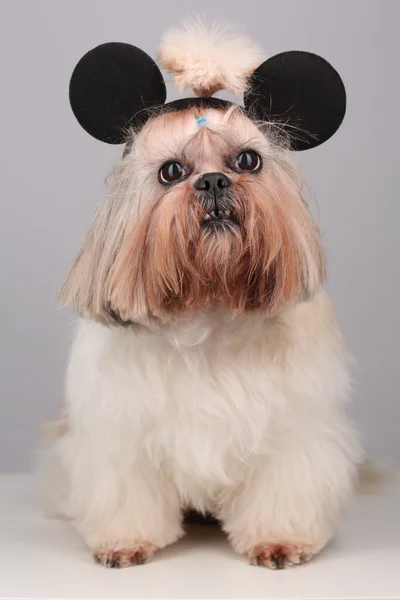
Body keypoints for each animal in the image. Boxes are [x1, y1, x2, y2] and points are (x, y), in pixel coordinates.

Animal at [40, 18, 362, 568]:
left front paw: (279, 541)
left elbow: (284, 483)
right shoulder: (119, 436)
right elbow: (126, 490)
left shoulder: (294, 434)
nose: (213, 181)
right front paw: (125, 542)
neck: (209, 310)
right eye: (172, 171)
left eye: (248, 160)